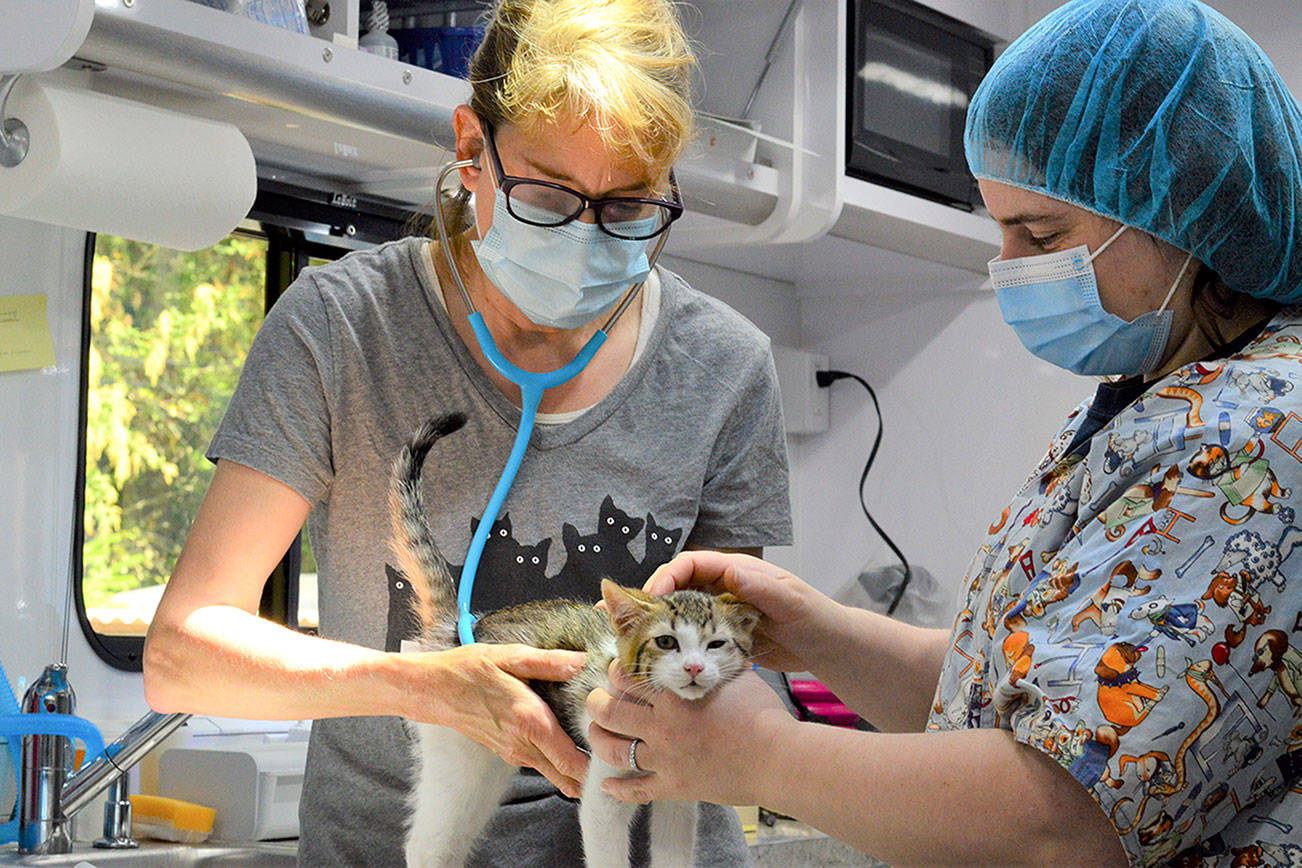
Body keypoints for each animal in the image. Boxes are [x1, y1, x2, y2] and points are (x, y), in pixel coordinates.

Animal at [387, 413, 760, 868]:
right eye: (667, 642)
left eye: (716, 645)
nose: (694, 668)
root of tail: (460, 632)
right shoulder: (605, 790)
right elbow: (607, 851)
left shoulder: (679, 796)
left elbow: (673, 851)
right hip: (461, 756)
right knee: (425, 845)